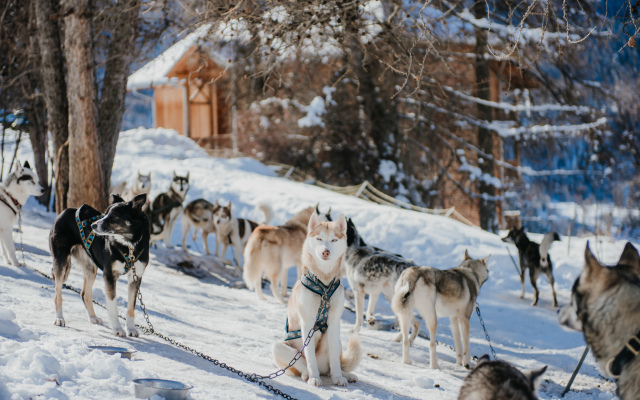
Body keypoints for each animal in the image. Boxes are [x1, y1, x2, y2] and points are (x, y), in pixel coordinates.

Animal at [49, 194, 150, 338]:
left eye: (114, 215)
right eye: (106, 213)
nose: (93, 225)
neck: (129, 246)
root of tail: (65, 211)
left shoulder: (136, 277)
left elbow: (131, 307)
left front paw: (131, 329)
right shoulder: (109, 276)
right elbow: (113, 306)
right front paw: (117, 329)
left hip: (91, 268)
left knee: (85, 294)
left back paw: (93, 317)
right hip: (61, 262)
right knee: (58, 294)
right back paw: (59, 318)